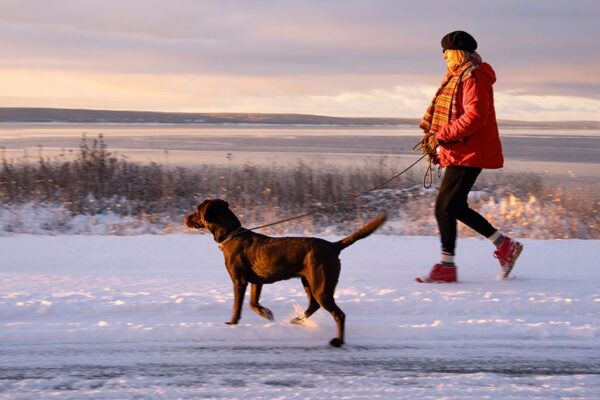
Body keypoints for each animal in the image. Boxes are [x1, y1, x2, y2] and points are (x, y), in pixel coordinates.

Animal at [185, 199, 386, 346]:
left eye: (197, 210)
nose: (185, 218)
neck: (231, 235)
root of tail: (332, 246)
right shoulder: (257, 281)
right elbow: (253, 303)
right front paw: (267, 314)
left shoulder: (239, 281)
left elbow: (237, 307)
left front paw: (232, 324)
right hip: (308, 282)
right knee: (314, 305)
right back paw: (297, 321)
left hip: (320, 285)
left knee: (338, 314)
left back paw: (338, 341)